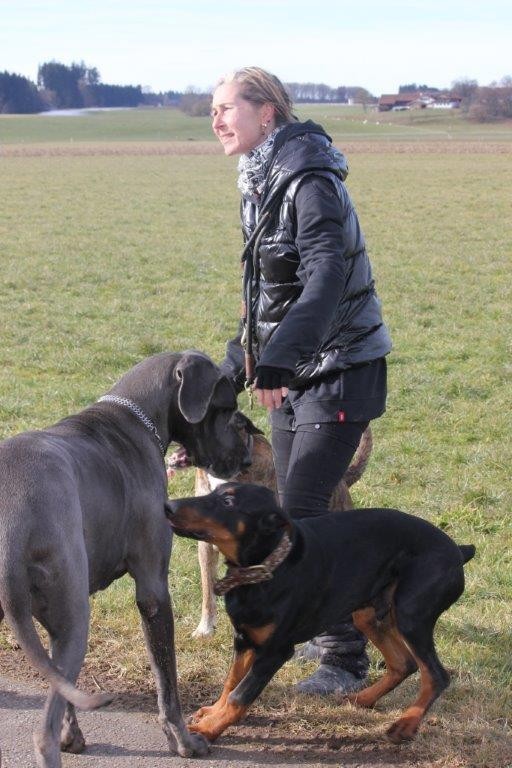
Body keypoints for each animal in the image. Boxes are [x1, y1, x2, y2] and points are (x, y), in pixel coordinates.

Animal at [0, 350, 252, 767]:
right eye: (227, 406)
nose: (245, 460)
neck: (134, 418)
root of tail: (10, 514)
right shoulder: (153, 589)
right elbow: (167, 681)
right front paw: (183, 741)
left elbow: (65, 685)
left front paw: (74, 735)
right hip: (76, 618)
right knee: (42, 735)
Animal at [166, 482, 475, 745]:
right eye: (212, 491)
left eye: (228, 501)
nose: (168, 506)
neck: (264, 570)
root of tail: (458, 551)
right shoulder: (244, 639)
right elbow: (231, 682)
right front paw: (211, 713)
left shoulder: (276, 651)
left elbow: (241, 694)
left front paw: (208, 730)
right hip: (369, 613)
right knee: (404, 663)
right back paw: (362, 699)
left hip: (411, 616)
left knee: (435, 675)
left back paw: (406, 724)